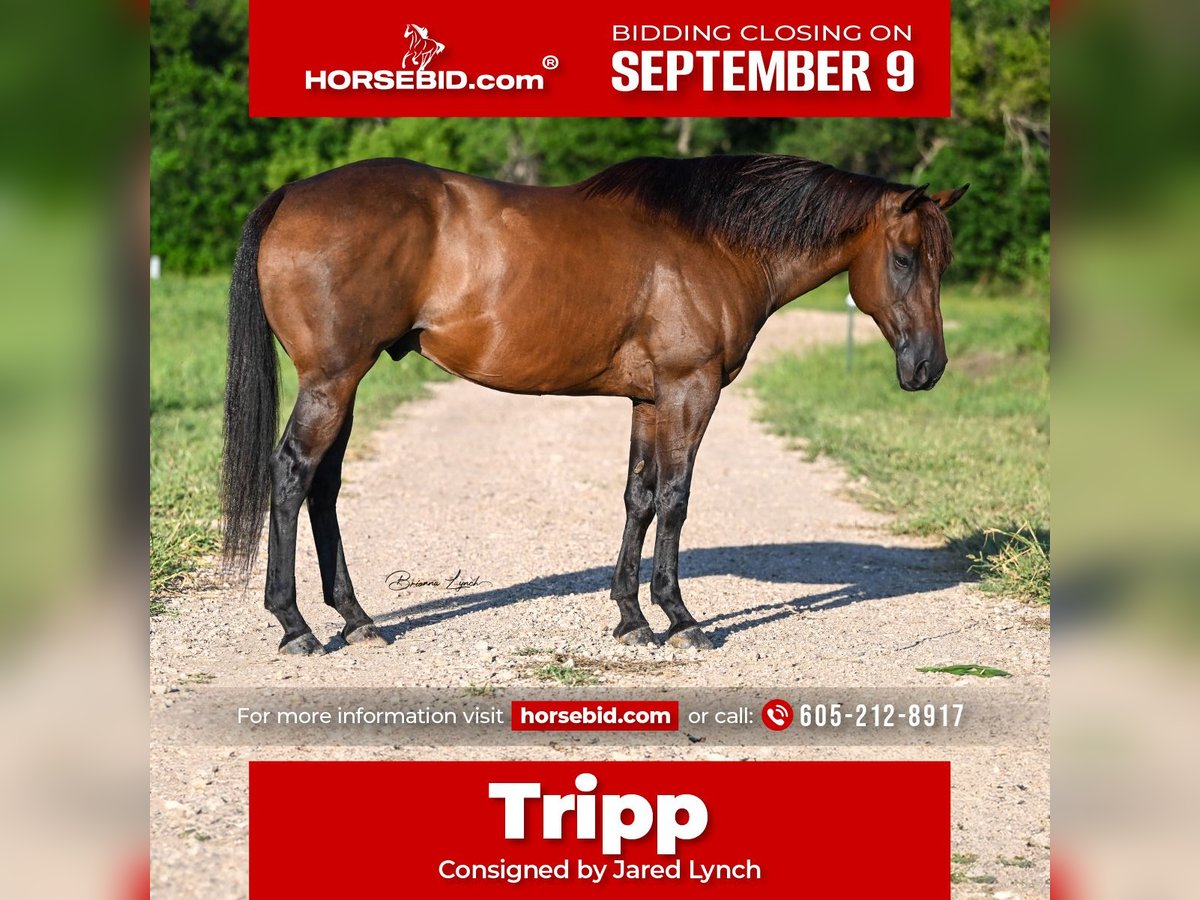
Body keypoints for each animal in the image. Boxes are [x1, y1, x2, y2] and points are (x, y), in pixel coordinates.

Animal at [220, 157, 969, 657]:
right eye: (905, 257)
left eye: (944, 260)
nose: (928, 368)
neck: (715, 244)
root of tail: (293, 194)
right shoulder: (689, 391)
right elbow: (675, 500)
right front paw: (681, 619)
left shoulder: (650, 400)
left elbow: (639, 497)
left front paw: (631, 617)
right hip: (332, 380)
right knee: (292, 475)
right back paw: (295, 626)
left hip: (344, 384)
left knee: (324, 487)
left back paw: (357, 619)